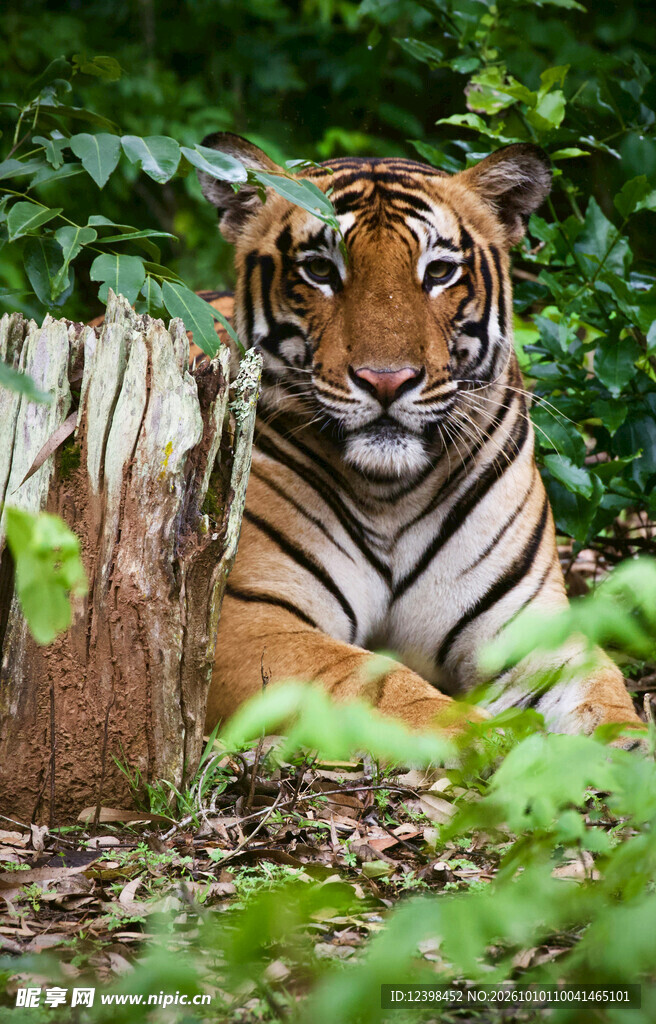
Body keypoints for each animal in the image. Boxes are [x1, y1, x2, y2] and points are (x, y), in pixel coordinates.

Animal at [195, 131, 642, 742]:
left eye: (438, 272)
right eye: (320, 269)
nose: (387, 380)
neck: (390, 492)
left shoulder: (527, 623)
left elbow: (604, 696)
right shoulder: (248, 620)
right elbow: (378, 685)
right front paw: (488, 747)